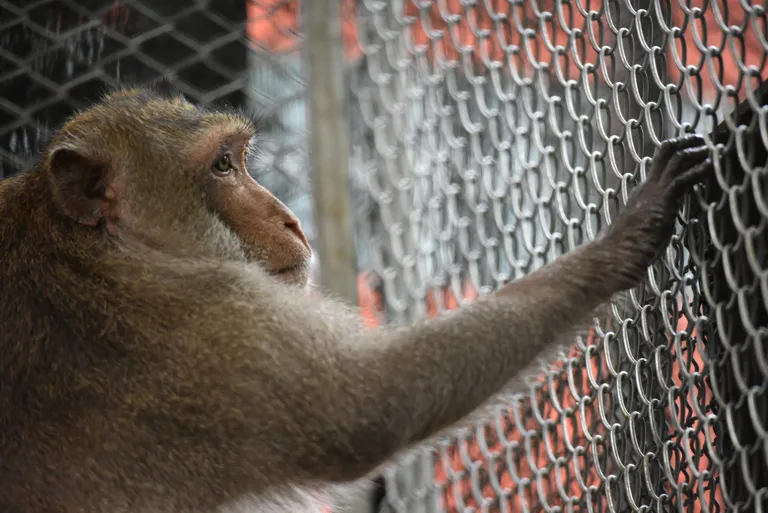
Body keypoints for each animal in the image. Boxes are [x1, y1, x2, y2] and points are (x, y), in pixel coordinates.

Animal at [0, 82, 712, 510]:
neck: (97, 244)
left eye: (239, 159)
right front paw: (622, 241)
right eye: (223, 166)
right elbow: (370, 409)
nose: (290, 218)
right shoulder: (195, 330)